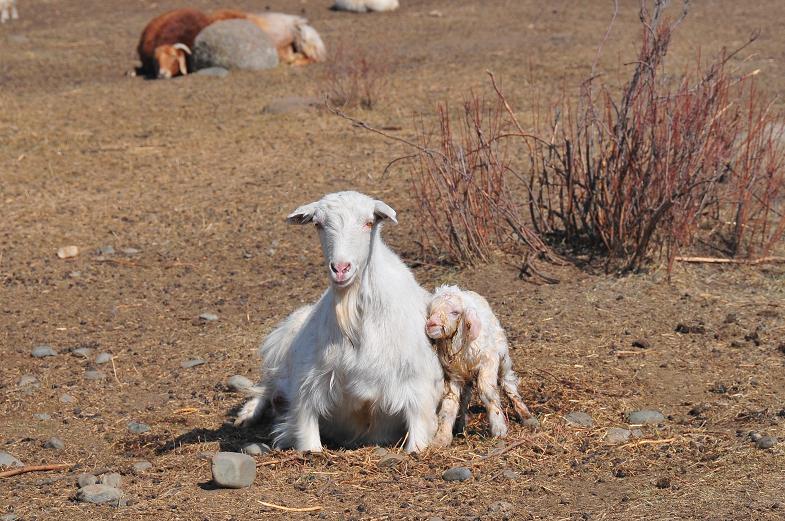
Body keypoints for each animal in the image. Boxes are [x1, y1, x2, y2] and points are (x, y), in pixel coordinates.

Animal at [233, 191, 444, 450]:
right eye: (318, 224)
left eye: (369, 222)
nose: (341, 268)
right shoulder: (306, 391)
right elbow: (308, 439)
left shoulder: (418, 392)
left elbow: (417, 443)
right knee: (270, 382)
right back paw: (248, 414)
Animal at [422, 282, 532, 444]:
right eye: (431, 311)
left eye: (455, 312)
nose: (431, 325)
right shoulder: (453, 373)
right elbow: (450, 402)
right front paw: (442, 438)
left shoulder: (489, 361)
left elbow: (487, 392)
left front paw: (499, 429)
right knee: (465, 397)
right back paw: (460, 426)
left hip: (503, 357)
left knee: (508, 382)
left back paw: (526, 416)